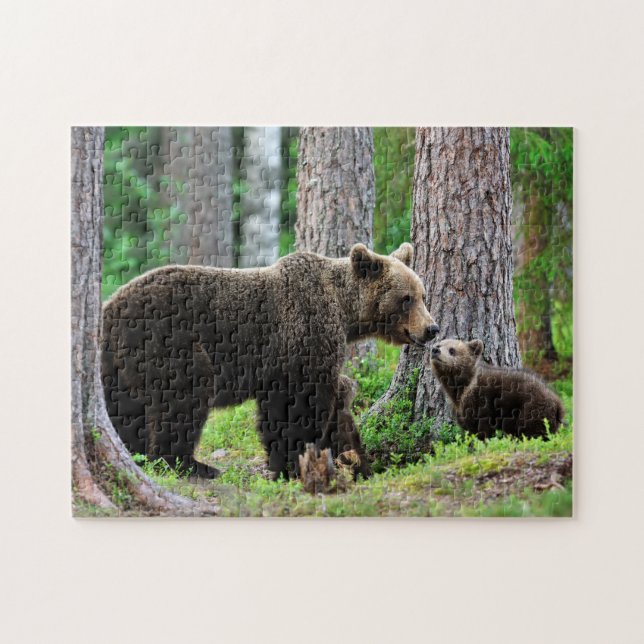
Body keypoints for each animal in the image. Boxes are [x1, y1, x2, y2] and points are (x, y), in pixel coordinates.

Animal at [101, 242, 439, 480]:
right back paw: (189, 464)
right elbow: (298, 408)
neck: (345, 313)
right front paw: (291, 463)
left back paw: (137, 453)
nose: (431, 328)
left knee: (124, 408)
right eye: (406, 298)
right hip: (170, 345)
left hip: (118, 364)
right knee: (183, 398)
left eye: (422, 294)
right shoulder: (302, 339)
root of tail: (110, 307)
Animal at [430, 338, 564, 440]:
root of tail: (558, 403)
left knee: (531, 432)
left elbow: (482, 428)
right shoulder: (459, 407)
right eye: (439, 344)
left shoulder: (481, 401)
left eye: (452, 350)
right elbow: (468, 427)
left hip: (531, 409)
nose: (435, 350)